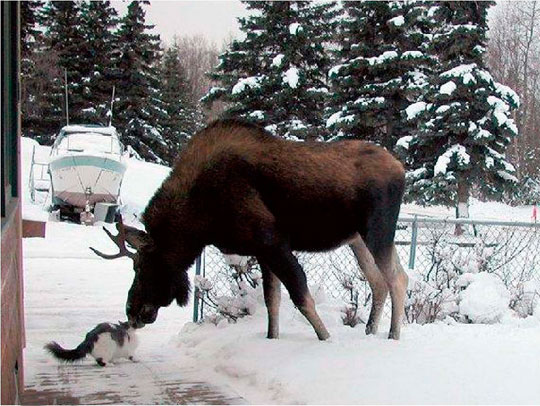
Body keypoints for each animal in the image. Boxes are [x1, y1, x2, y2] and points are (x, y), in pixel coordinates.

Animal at [93, 119, 408, 340]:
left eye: (142, 266)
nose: (131, 311)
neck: (199, 221)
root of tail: (401, 169)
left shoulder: (272, 241)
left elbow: (301, 297)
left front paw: (326, 339)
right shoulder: (263, 251)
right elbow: (272, 302)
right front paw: (273, 337)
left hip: (377, 231)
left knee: (397, 279)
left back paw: (393, 335)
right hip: (358, 240)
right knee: (380, 282)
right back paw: (370, 331)